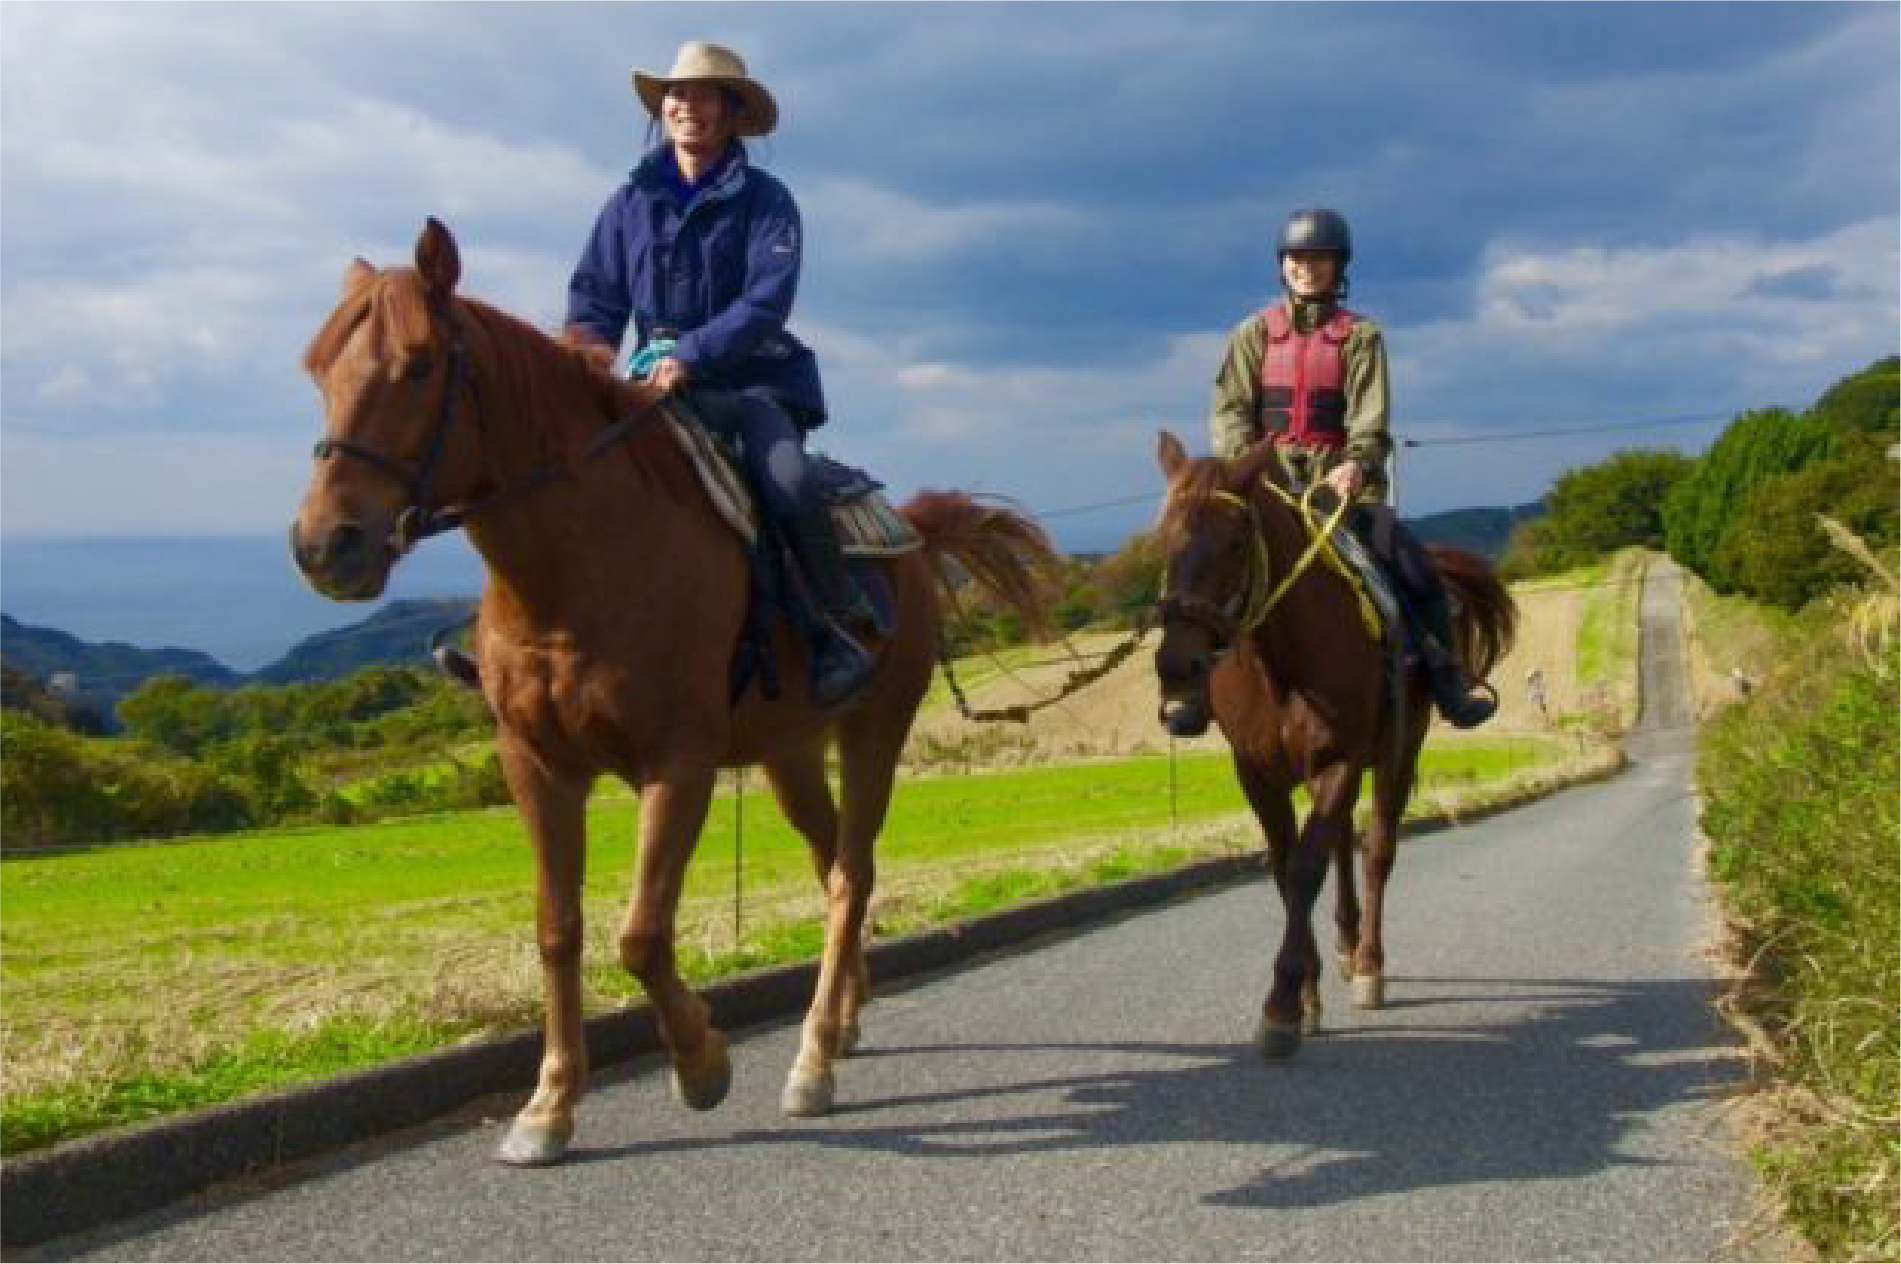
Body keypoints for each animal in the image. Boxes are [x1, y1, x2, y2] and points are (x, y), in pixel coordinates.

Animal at [287, 221, 1056, 1170]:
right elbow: (558, 931)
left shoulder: (678, 765)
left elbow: (641, 934)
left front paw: (700, 1061)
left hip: (875, 727)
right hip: (789, 752)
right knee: (831, 861)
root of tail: (909, 527)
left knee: (850, 872)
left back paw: (812, 1060)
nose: (325, 546)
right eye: (318, 370)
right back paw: (842, 1019)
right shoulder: (535, 765)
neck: (577, 569)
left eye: (420, 364)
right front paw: (549, 1105)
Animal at [1140, 431, 1513, 1056]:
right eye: (1162, 541)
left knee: (1376, 850)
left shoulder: (1342, 759)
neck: (1282, 665)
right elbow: (1285, 868)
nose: (1177, 667)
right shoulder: (1258, 774)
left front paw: (1283, 1006)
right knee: (1342, 841)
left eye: (1237, 543)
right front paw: (1308, 994)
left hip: (1396, 755)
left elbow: (1306, 869)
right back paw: (1343, 944)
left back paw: (1367, 964)